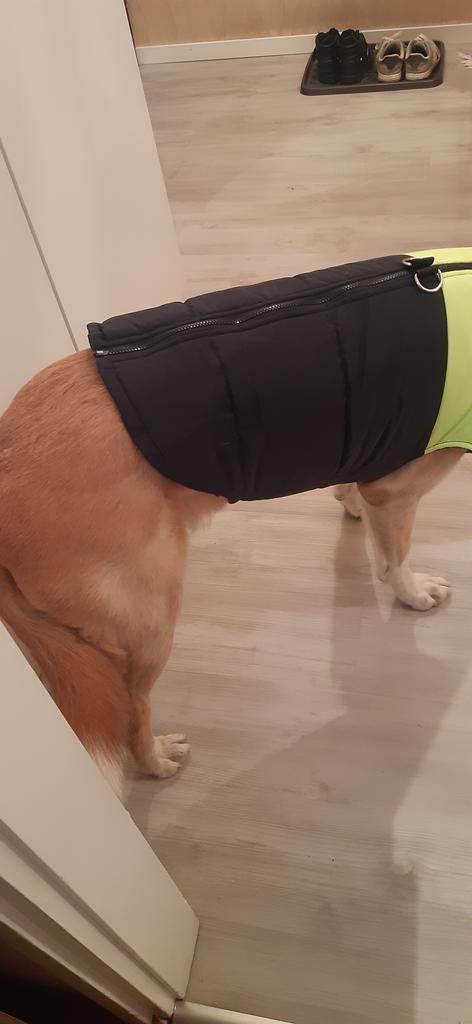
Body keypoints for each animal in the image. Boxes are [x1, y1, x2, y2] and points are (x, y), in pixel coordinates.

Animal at [1, 248, 471, 799]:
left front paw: (349, 503)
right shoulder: (397, 491)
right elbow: (395, 560)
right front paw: (415, 594)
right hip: (150, 617)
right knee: (132, 709)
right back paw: (155, 759)